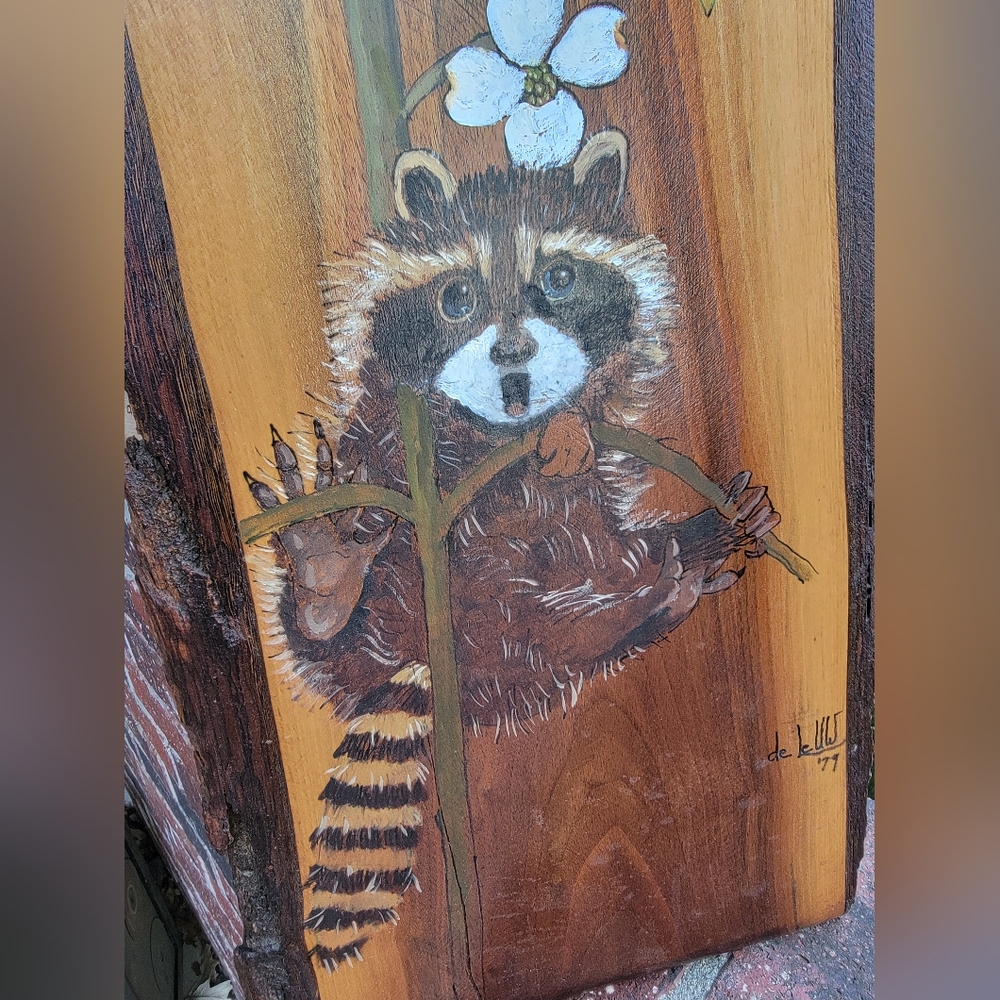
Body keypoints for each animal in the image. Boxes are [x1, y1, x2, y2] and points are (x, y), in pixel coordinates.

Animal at [245, 131, 779, 971]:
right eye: (457, 297)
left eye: (558, 278)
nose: (515, 362)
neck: (500, 431)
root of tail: (425, 654)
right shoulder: (393, 418)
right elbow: (400, 423)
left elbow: (584, 429)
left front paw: (569, 428)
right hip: (394, 597)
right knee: (325, 631)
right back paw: (324, 575)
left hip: (541, 624)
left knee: (581, 613)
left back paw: (667, 582)